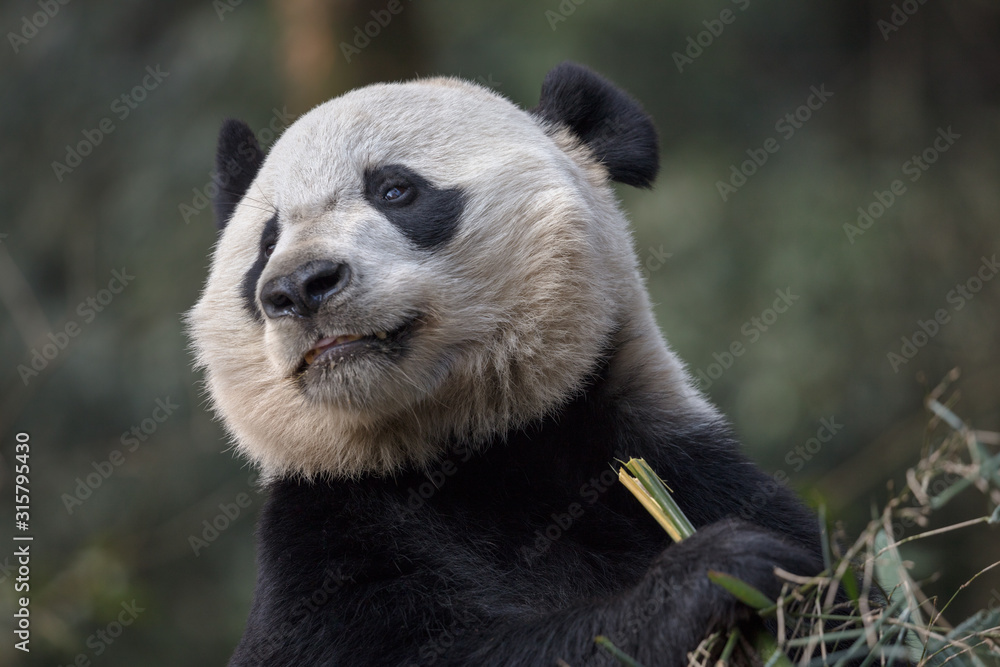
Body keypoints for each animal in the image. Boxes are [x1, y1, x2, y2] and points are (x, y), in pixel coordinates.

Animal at [188, 62, 824, 666]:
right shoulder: (326, 540)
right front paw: (718, 571)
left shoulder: (676, 461)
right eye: (267, 244)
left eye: (394, 190)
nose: (299, 286)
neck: (475, 446)